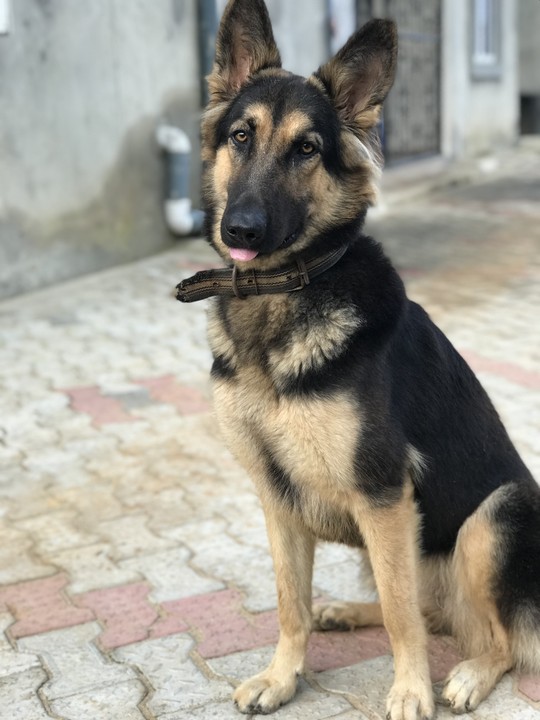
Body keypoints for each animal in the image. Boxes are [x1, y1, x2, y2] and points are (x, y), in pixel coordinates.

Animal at [176, 2, 540, 716]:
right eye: (241, 136)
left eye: (306, 149)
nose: (241, 230)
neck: (285, 294)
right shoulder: (277, 498)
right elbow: (291, 601)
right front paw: (282, 676)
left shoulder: (383, 497)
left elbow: (401, 615)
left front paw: (411, 690)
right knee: (432, 611)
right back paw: (344, 612)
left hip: (493, 518)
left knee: (495, 635)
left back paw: (468, 674)